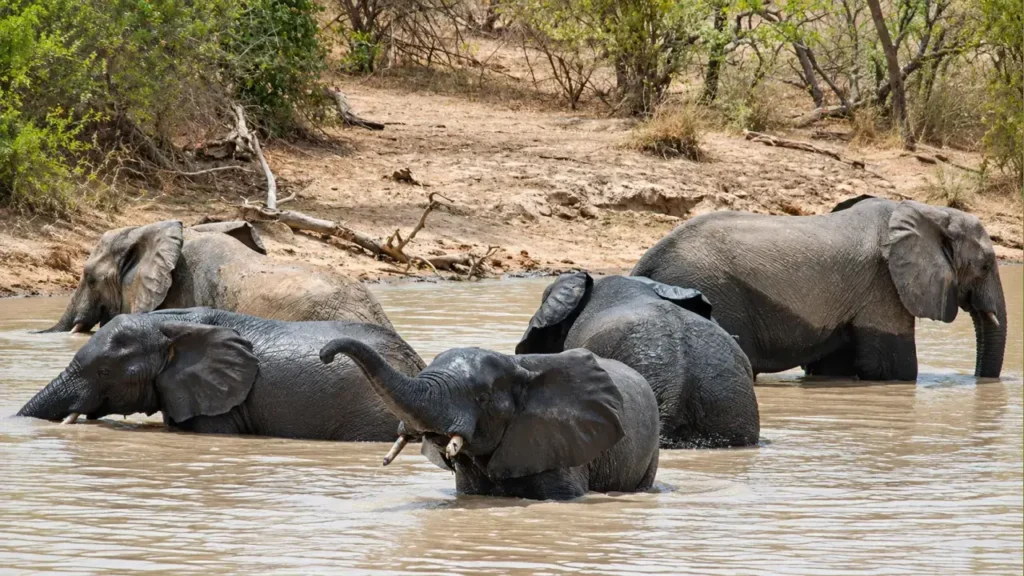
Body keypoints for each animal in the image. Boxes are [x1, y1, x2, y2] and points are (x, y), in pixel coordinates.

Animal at [631, 196, 1007, 381]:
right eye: (986, 265)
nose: (979, 382)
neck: (929, 211)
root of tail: (645, 263)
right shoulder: (883, 284)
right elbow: (895, 367)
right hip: (714, 288)